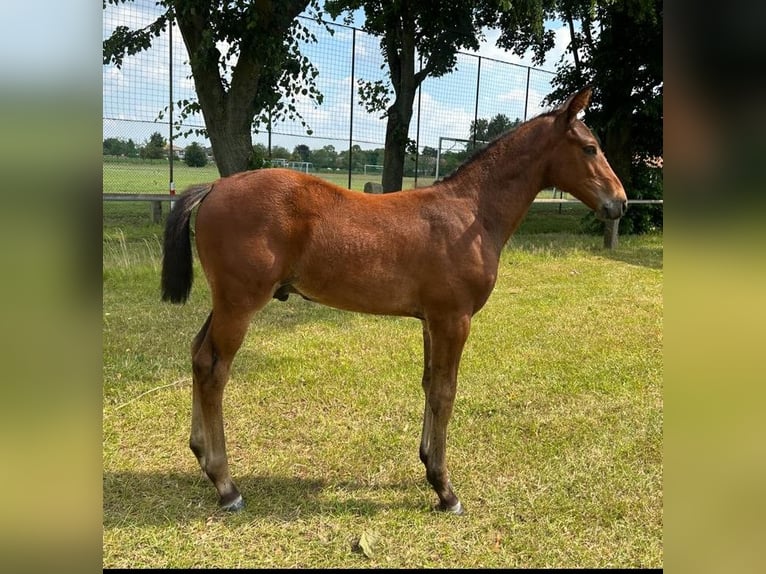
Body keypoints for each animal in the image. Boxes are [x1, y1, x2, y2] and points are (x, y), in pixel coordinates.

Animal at [162, 88, 632, 516]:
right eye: (590, 147)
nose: (621, 202)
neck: (472, 214)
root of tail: (214, 186)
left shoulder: (430, 320)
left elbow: (428, 383)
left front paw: (427, 464)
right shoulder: (453, 319)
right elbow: (445, 391)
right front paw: (444, 489)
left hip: (226, 303)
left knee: (196, 354)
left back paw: (201, 455)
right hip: (240, 304)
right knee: (214, 370)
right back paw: (226, 485)